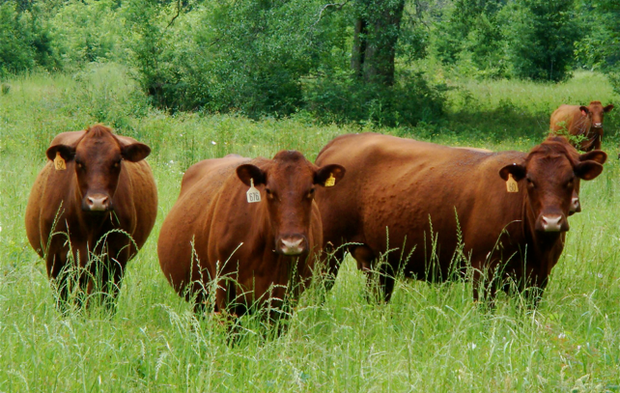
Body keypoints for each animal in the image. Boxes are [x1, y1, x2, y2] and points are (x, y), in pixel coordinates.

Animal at [24, 125, 157, 310]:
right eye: (79, 161)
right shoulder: (55, 259)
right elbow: (63, 303)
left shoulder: (116, 260)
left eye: (117, 161)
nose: (97, 201)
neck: (89, 226)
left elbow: (108, 303)